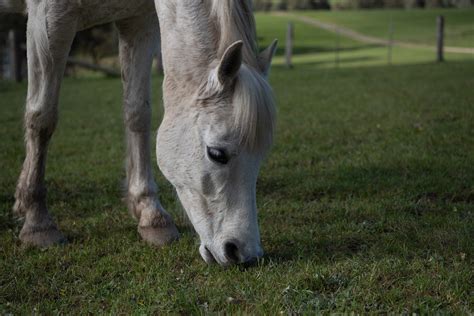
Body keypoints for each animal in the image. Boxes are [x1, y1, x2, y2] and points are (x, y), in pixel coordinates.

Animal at [2, 0, 278, 266]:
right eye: (217, 154)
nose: (244, 253)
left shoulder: (139, 22)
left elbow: (137, 114)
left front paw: (150, 214)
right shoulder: (48, 19)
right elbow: (42, 118)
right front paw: (38, 222)